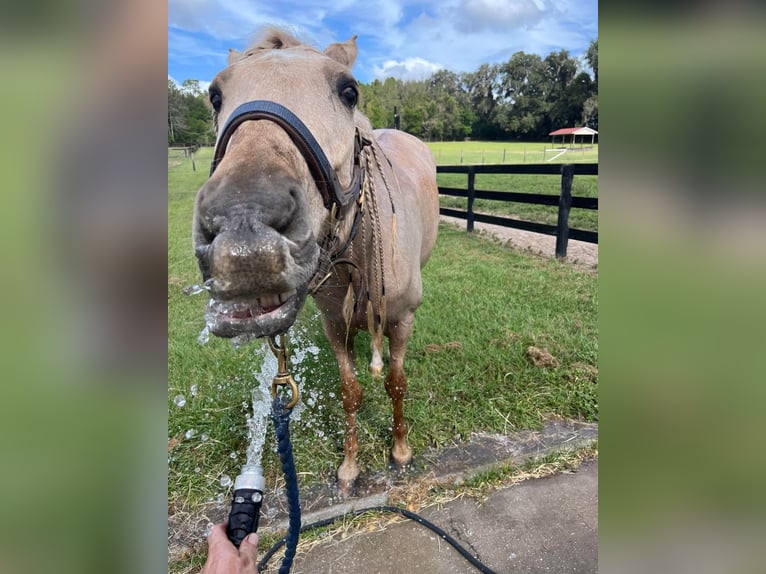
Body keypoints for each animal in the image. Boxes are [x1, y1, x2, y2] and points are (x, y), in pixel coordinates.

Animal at [192, 28, 440, 496]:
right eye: (215, 96)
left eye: (349, 91)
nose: (245, 236)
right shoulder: (334, 326)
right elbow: (351, 392)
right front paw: (350, 466)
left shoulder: (401, 321)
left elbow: (396, 385)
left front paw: (400, 451)